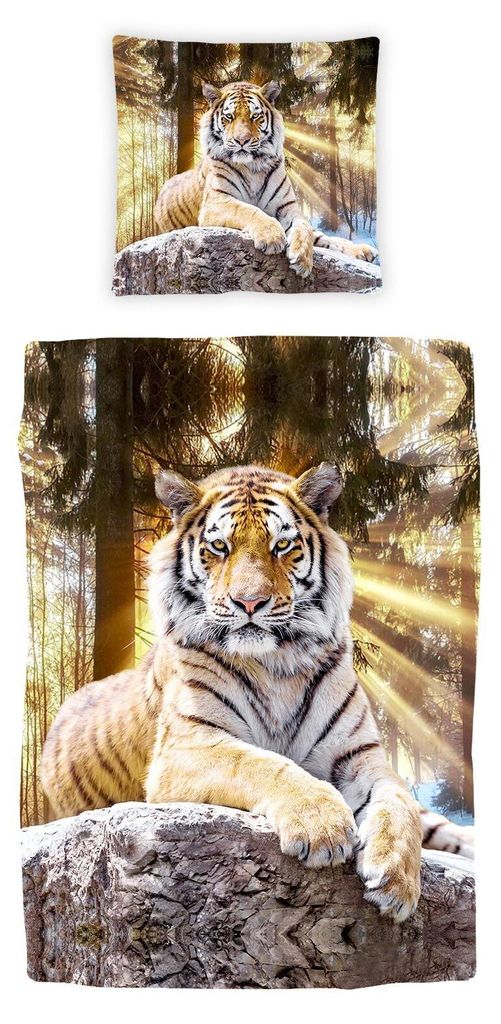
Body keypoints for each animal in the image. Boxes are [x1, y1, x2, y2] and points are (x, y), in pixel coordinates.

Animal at [41, 463, 473, 924]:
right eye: (218, 546)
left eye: (282, 545)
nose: (249, 603)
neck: (277, 663)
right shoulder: (187, 745)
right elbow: (263, 764)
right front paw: (322, 824)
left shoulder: (359, 756)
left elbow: (398, 801)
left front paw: (396, 877)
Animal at [154, 81, 378, 279]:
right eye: (229, 117)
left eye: (255, 116)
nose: (241, 141)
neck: (253, 166)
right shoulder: (217, 202)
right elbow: (248, 209)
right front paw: (272, 237)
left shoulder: (289, 209)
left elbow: (304, 228)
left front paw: (302, 259)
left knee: (323, 237)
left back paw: (363, 250)